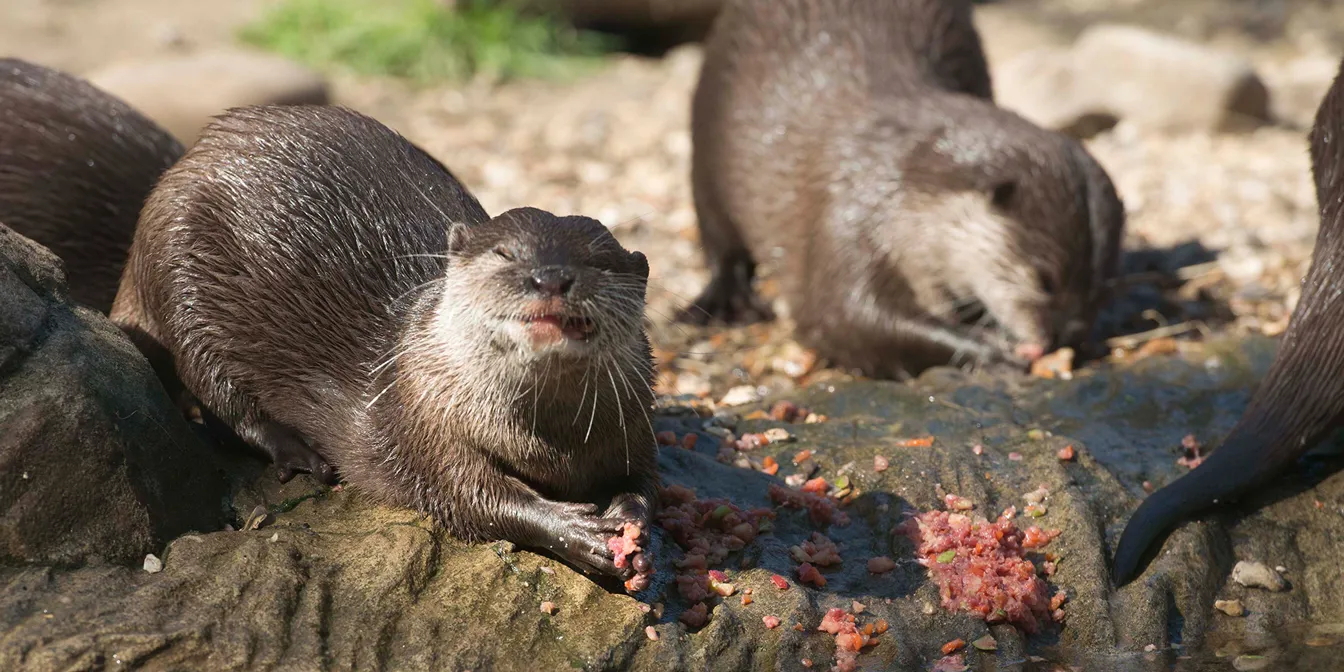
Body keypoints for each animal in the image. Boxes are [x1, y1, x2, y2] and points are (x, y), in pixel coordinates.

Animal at [112, 104, 658, 583]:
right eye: (505, 253)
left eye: (598, 262)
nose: (550, 278)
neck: (551, 444)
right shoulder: (424, 419)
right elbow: (475, 499)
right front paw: (575, 530)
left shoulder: (636, 424)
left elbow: (645, 483)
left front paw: (632, 523)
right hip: (179, 270)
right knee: (216, 398)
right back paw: (299, 452)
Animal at [677, 0, 1128, 379]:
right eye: (1043, 279)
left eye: (1104, 289)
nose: (1068, 334)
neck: (903, 188)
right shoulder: (847, 220)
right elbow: (844, 316)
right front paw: (988, 350)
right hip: (709, 127)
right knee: (716, 229)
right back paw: (724, 300)